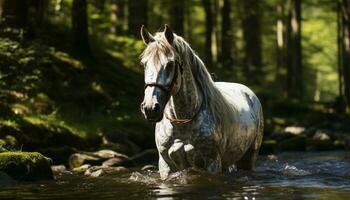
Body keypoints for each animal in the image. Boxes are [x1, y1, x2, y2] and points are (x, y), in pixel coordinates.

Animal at [139, 25, 262, 180]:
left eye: (170, 64)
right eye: (144, 64)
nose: (150, 108)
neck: (182, 122)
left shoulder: (212, 163)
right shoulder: (166, 166)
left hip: (249, 158)